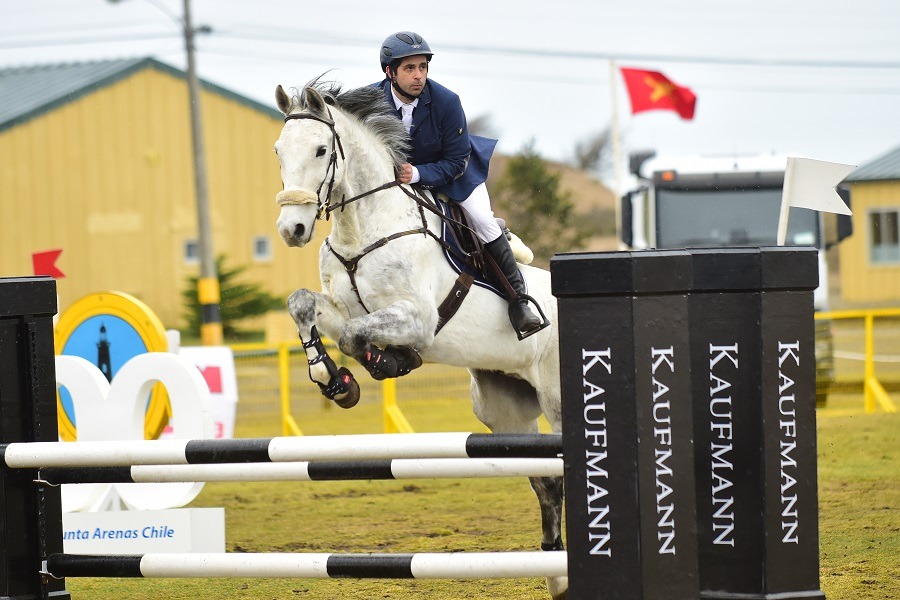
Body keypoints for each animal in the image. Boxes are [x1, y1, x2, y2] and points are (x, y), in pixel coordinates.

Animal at [274, 81, 568, 600]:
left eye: (321, 150)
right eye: (277, 151)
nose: (292, 230)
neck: (363, 228)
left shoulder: (418, 318)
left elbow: (356, 337)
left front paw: (386, 362)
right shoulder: (343, 308)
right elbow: (304, 306)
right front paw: (334, 381)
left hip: (556, 401)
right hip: (504, 413)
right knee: (547, 482)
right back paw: (556, 573)